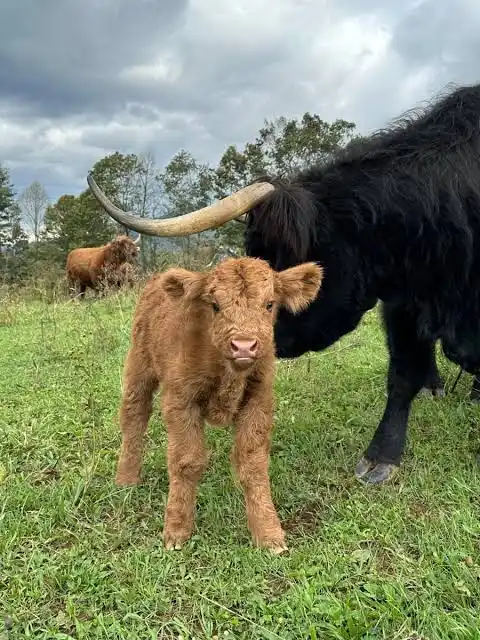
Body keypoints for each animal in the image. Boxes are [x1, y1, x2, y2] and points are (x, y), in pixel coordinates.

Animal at [114, 257, 322, 551]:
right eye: (214, 305)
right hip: (139, 363)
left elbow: (253, 464)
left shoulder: (259, 401)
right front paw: (177, 531)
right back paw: (126, 479)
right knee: (134, 415)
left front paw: (268, 534)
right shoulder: (180, 400)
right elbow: (186, 461)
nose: (244, 346)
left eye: (269, 304)